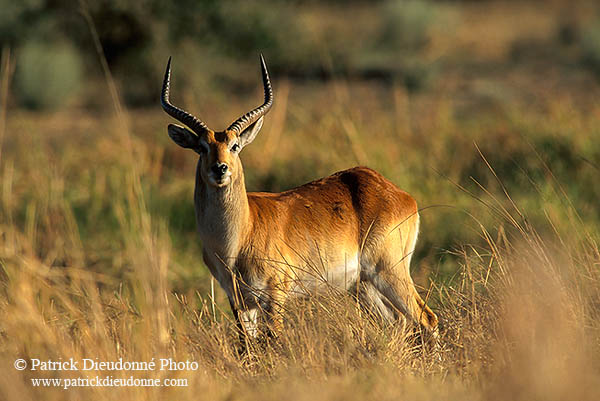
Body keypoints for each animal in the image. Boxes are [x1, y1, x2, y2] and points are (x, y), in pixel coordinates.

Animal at [162, 54, 438, 340]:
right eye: (202, 147)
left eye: (234, 146)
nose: (220, 168)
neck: (238, 238)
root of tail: (399, 194)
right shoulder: (240, 303)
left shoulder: (275, 296)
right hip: (364, 286)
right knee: (398, 322)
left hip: (389, 272)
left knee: (427, 318)